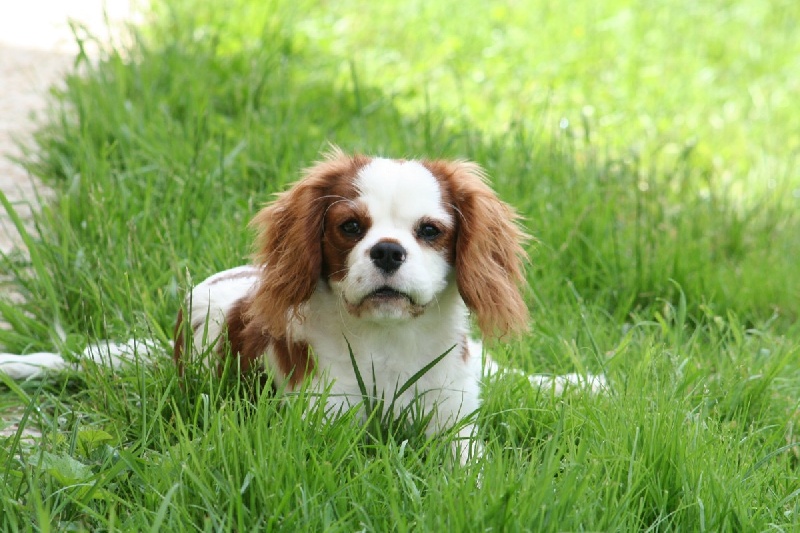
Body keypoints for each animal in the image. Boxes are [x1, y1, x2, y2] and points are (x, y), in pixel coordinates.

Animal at [0, 149, 600, 462]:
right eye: (350, 227)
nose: (387, 250)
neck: (389, 343)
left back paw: (581, 384)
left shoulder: (456, 423)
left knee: (505, 374)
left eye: (430, 231)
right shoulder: (323, 426)